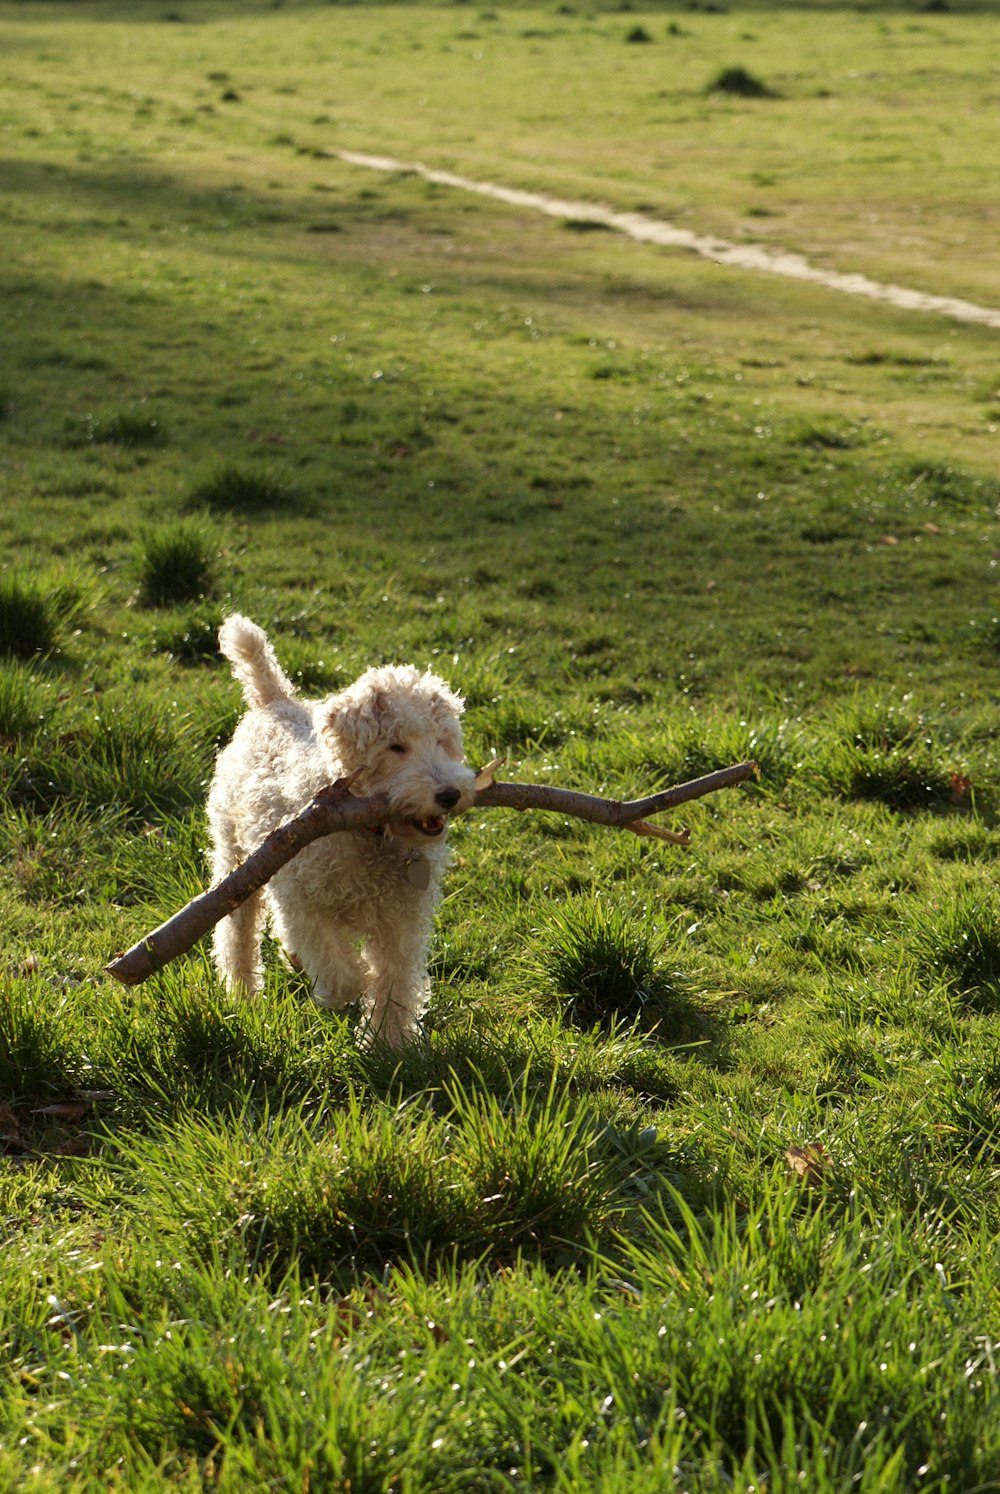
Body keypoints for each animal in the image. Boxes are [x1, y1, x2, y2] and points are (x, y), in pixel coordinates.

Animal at [204, 612, 478, 1045]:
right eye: (396, 747)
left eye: (441, 741)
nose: (449, 794)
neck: (368, 833)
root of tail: (274, 701)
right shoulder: (301, 900)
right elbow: (340, 971)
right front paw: (347, 989)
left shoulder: (403, 919)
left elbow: (395, 979)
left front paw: (389, 1041)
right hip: (236, 859)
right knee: (237, 935)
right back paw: (243, 996)